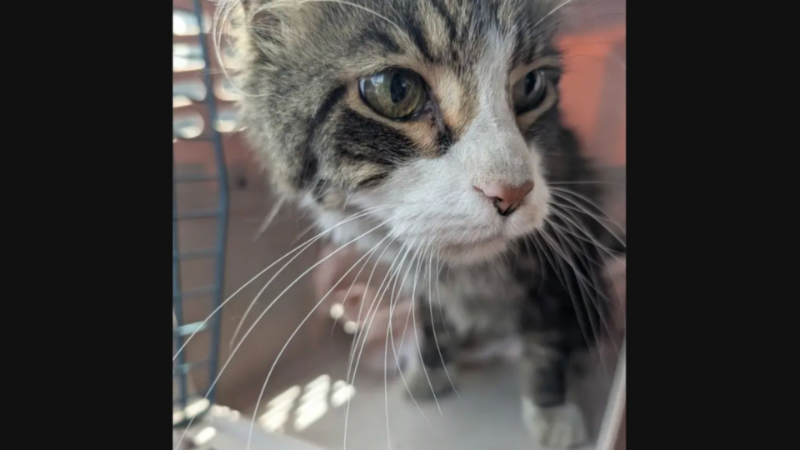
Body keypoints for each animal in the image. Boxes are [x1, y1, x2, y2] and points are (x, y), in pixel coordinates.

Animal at [221, 0, 624, 447]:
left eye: (530, 86)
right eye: (396, 89)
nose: (513, 191)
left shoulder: (556, 260)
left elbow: (547, 341)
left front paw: (551, 410)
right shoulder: (421, 278)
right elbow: (431, 322)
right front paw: (430, 373)